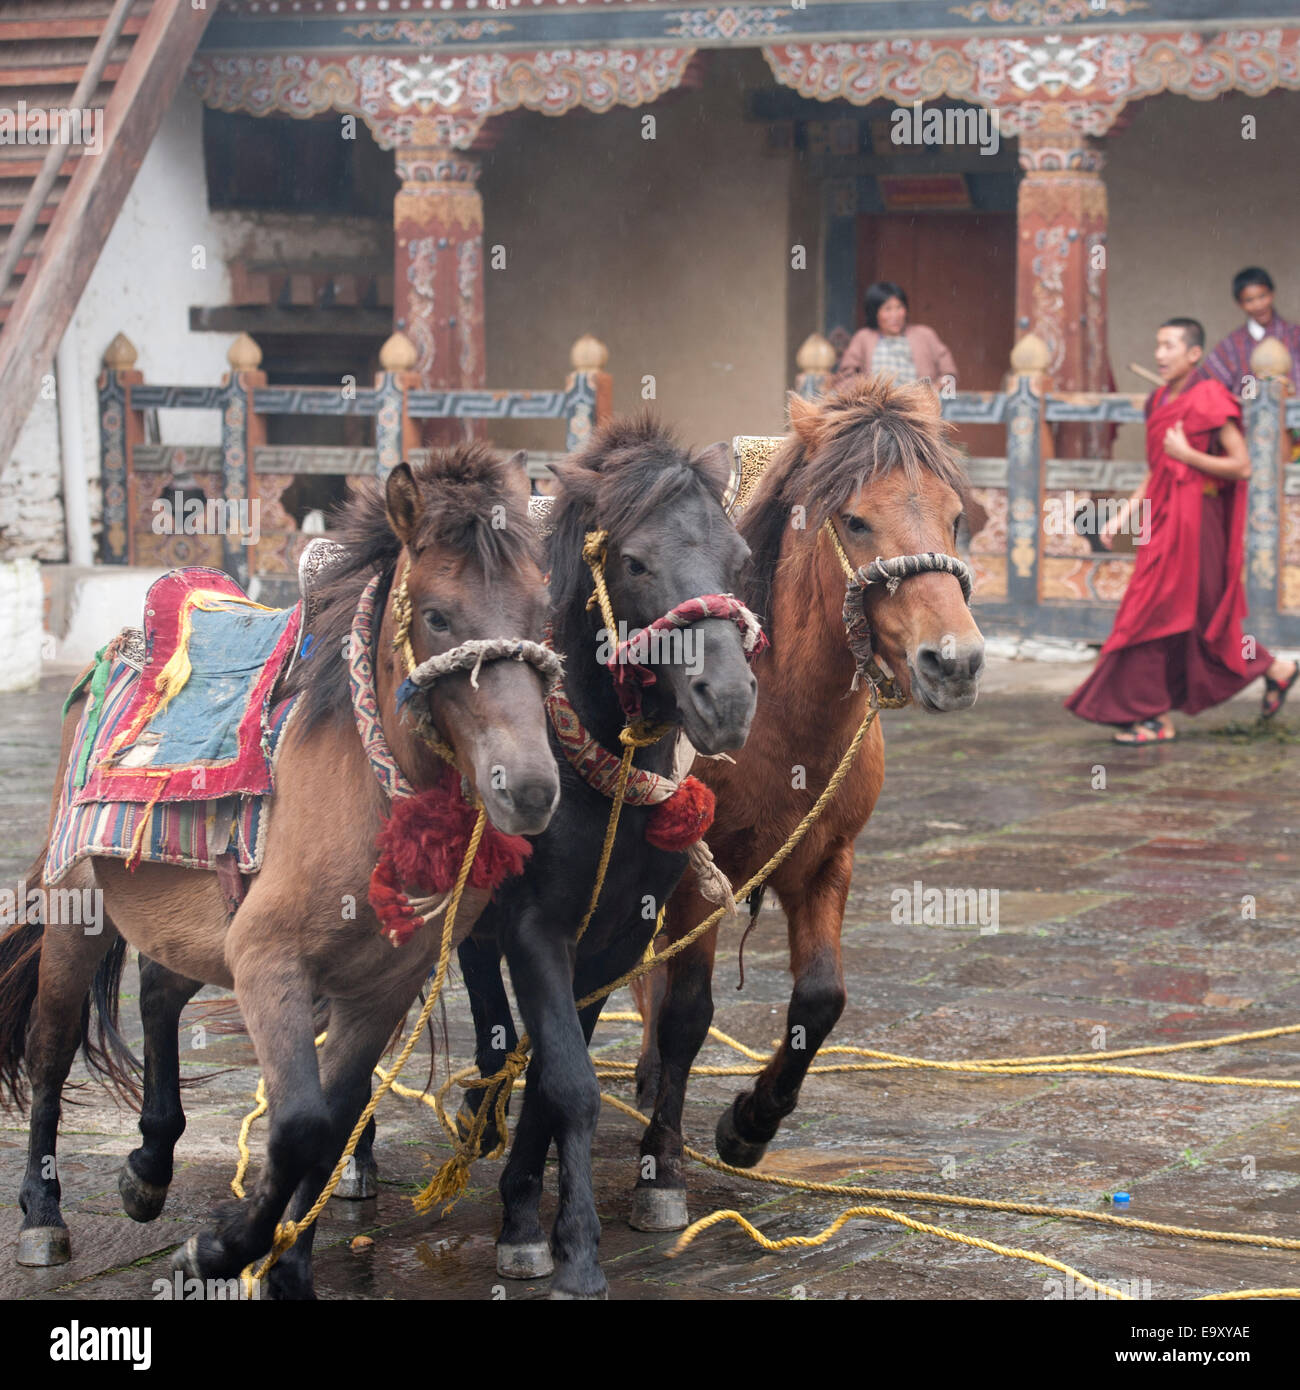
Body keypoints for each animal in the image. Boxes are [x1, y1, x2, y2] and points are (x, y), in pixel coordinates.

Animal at [0, 447, 558, 1301]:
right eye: (436, 616)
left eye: (539, 611)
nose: (527, 788)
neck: (369, 786)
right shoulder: (270, 960)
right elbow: (299, 1126)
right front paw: (215, 1251)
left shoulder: (379, 988)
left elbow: (334, 1124)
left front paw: (285, 1265)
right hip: (79, 911)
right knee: (52, 1045)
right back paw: (42, 1214)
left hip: (194, 918)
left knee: (158, 994)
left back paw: (149, 1167)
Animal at [631, 378, 984, 1228]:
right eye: (855, 519)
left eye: (955, 516)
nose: (954, 662)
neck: (781, 712)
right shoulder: (696, 874)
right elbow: (689, 1012)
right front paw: (662, 1168)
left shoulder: (828, 861)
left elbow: (821, 999)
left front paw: (750, 1124)